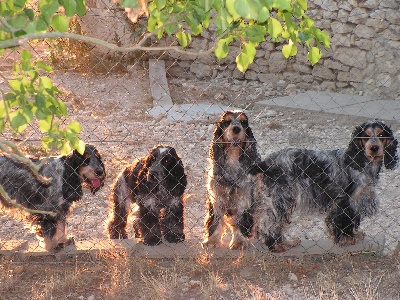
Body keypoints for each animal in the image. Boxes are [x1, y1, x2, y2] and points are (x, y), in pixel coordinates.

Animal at [203, 109, 266, 248]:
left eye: (243, 122)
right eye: (227, 122)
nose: (236, 129)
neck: (233, 158)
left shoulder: (243, 197)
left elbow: (239, 221)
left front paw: (239, 241)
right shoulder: (217, 197)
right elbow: (216, 220)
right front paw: (212, 240)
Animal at [250, 120, 396, 252]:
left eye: (381, 135)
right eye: (365, 136)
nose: (374, 148)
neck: (360, 163)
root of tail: (266, 163)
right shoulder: (345, 201)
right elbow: (343, 221)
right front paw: (346, 239)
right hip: (282, 197)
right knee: (270, 223)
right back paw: (279, 245)